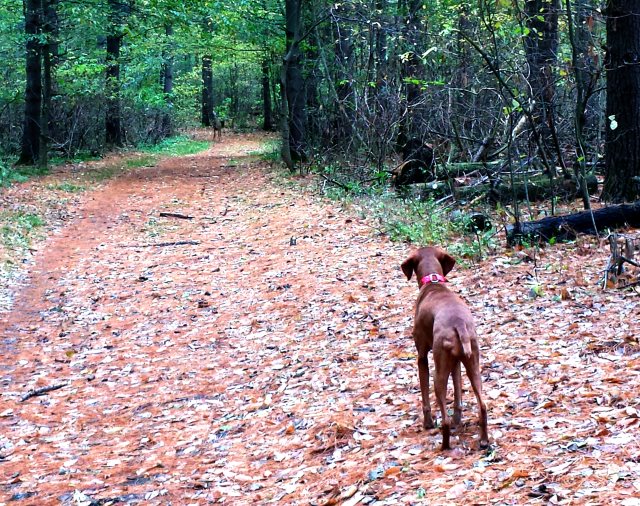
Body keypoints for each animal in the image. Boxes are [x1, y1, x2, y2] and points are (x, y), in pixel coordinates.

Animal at [402, 247, 488, 448]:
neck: (433, 282)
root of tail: (459, 325)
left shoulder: (422, 357)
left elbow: (425, 397)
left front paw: (427, 423)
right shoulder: (456, 363)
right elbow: (457, 395)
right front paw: (458, 418)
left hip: (438, 374)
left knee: (445, 420)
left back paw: (444, 445)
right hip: (473, 366)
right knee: (483, 406)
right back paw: (483, 440)